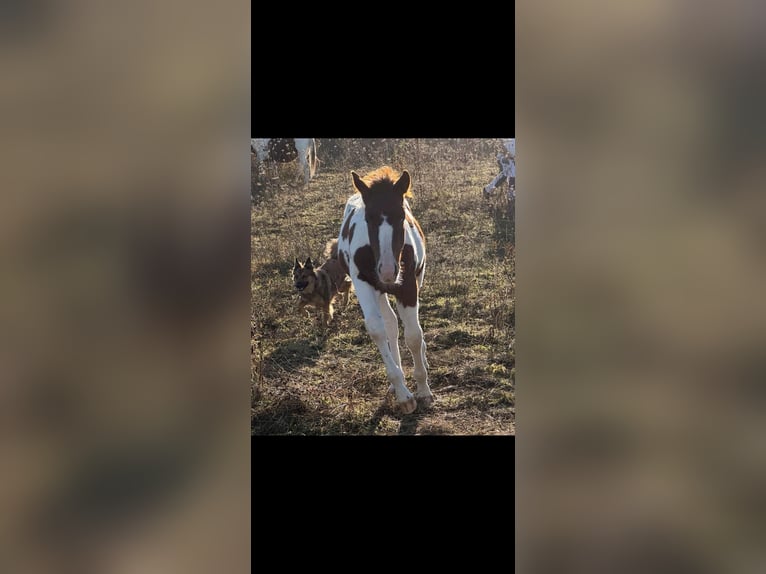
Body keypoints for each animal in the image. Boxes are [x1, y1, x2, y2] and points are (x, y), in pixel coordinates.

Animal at [336, 166, 433, 414]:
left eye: (401, 216)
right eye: (368, 218)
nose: (388, 271)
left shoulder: (408, 285)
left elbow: (414, 335)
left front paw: (423, 389)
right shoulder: (363, 283)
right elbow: (378, 329)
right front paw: (403, 394)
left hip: (416, 279)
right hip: (378, 290)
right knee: (390, 323)